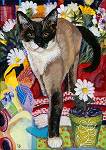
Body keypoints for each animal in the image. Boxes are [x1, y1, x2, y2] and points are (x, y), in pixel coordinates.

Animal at [16, 8, 101, 148]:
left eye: (45, 34)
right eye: (31, 34)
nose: (39, 43)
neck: (41, 59)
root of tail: (73, 25)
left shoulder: (55, 89)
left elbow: (54, 114)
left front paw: (53, 139)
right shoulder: (37, 73)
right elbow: (43, 88)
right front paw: (44, 97)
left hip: (74, 60)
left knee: (71, 78)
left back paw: (71, 90)